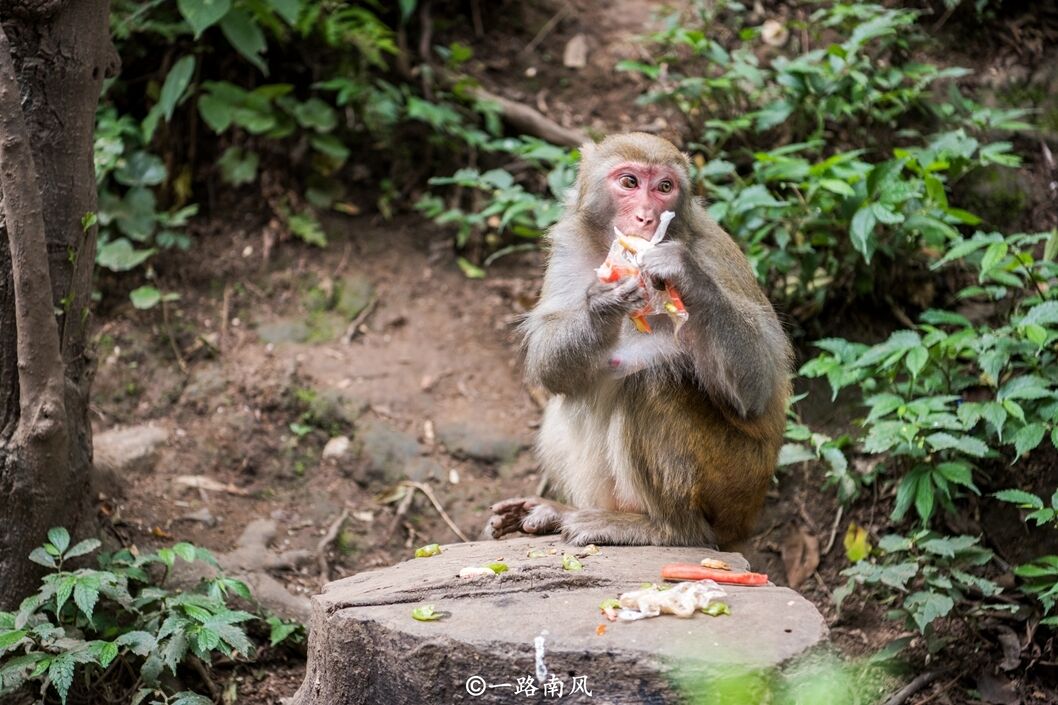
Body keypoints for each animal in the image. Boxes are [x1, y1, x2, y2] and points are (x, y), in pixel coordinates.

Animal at [484, 133, 791, 550]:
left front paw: (683, 272)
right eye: (630, 182)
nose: (646, 217)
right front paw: (603, 303)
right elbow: (549, 367)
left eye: (664, 187)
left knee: (653, 383)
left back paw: (668, 530)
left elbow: (758, 389)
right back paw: (560, 512)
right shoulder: (568, 245)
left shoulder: (715, 256)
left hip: (736, 483)